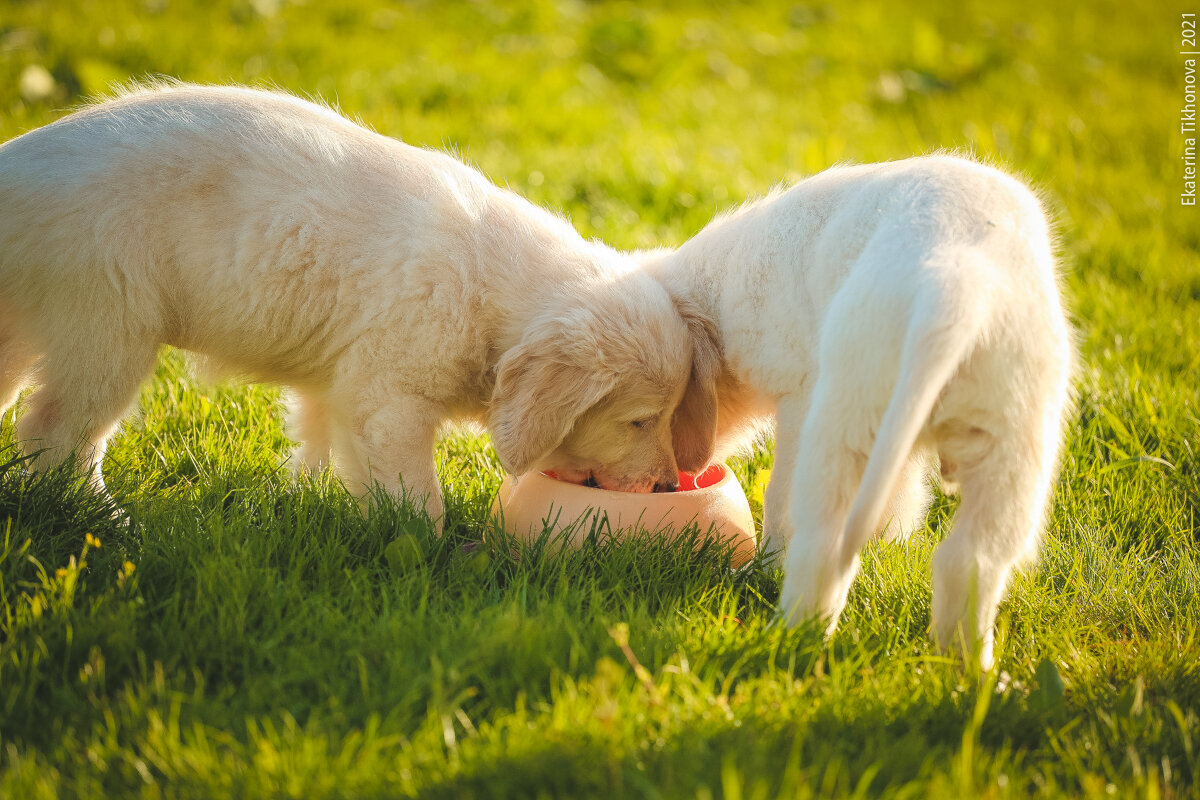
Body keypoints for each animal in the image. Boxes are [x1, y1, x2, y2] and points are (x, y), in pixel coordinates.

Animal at [0, 79, 710, 520]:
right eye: (640, 420)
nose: (669, 486)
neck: (492, 290)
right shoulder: (390, 397)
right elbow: (416, 493)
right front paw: (432, 554)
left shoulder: (340, 385)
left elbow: (322, 445)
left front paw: (307, 503)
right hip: (108, 322)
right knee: (59, 431)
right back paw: (107, 521)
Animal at [648, 155, 1080, 671]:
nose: (665, 487)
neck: (718, 290)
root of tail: (956, 284)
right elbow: (901, 500)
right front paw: (892, 542)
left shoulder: (800, 397)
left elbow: (779, 497)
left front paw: (769, 564)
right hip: (1013, 434)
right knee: (971, 559)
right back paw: (967, 670)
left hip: (844, 417)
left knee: (823, 542)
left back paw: (791, 638)